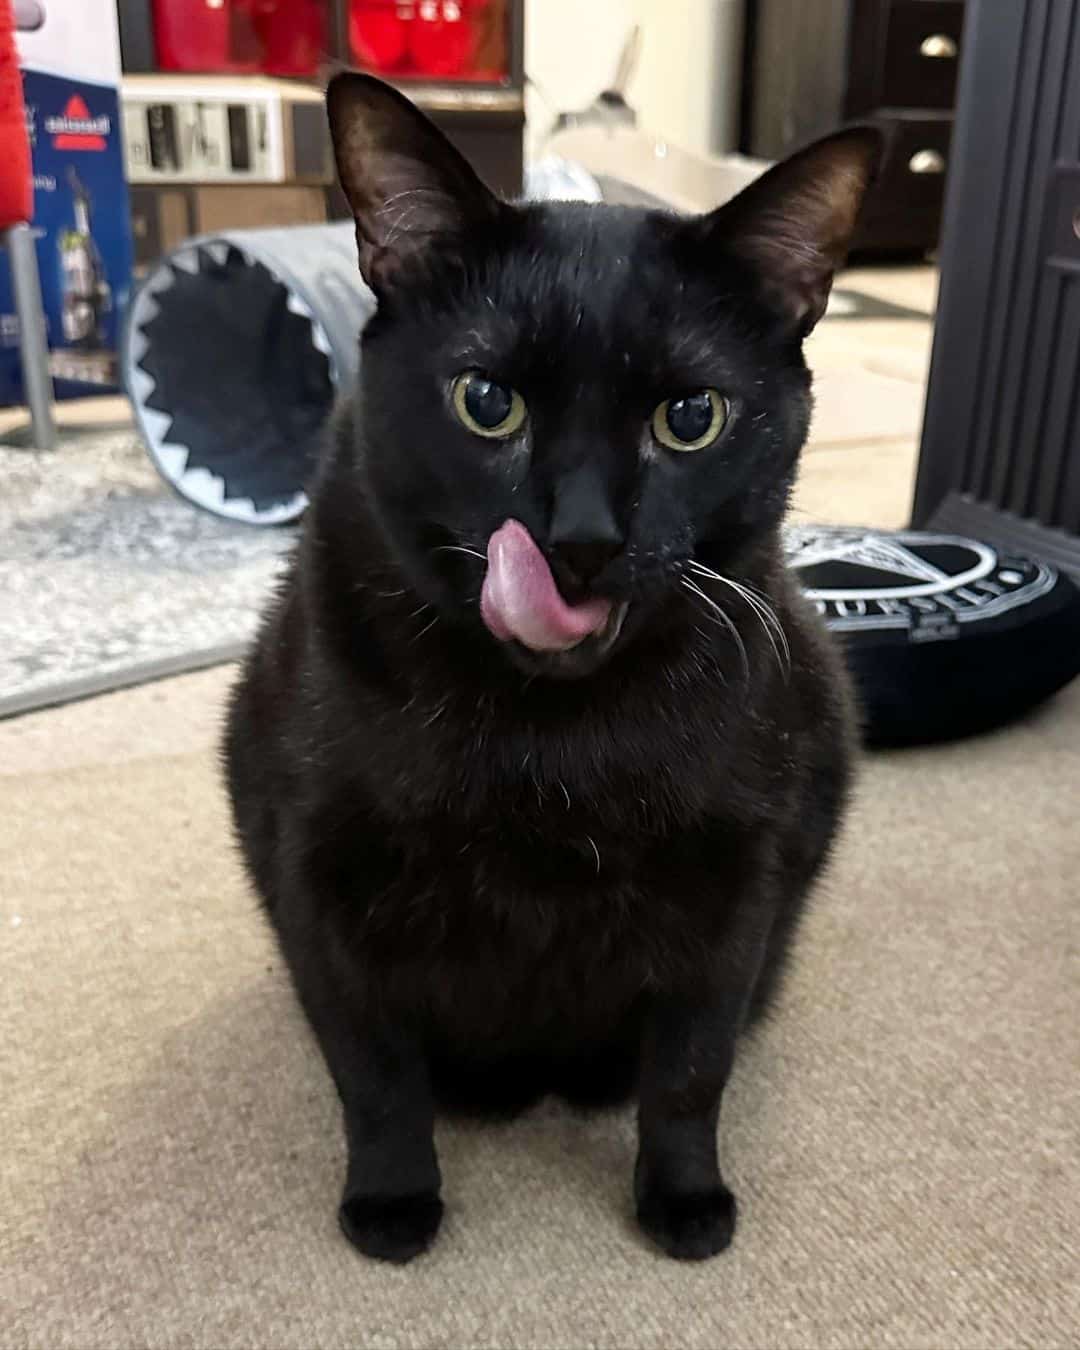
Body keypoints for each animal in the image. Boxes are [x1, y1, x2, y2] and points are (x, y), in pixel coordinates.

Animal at [224, 76, 880, 1263]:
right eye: (488, 402)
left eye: (690, 417)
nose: (580, 540)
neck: (548, 739)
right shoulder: (318, 880)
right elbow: (374, 1075)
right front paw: (392, 1201)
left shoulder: (735, 887)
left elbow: (690, 1073)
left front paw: (684, 1200)